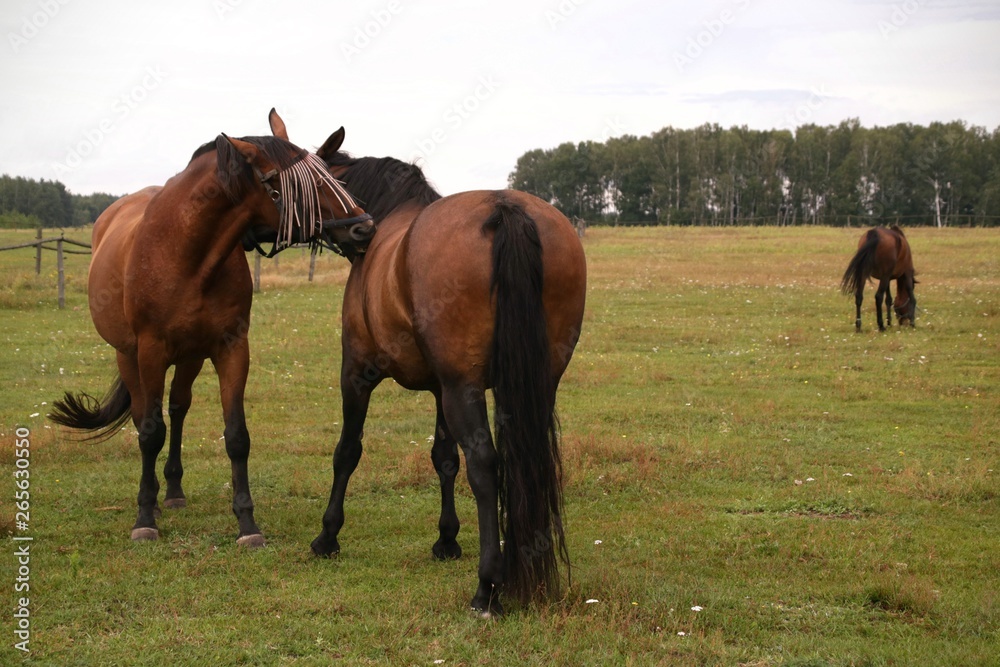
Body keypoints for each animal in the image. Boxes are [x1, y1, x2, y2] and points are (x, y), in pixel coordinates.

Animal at [48, 111, 374, 548]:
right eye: (295, 186)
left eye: (333, 177)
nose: (364, 229)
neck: (186, 253)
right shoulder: (150, 350)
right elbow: (150, 432)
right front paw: (144, 518)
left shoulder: (230, 348)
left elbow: (236, 436)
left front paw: (247, 523)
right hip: (128, 355)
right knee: (145, 417)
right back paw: (154, 500)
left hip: (190, 357)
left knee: (178, 408)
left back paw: (173, 491)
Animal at [312, 128, 588, 620]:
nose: (359, 231)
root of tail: (505, 208)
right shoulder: (442, 388)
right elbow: (443, 458)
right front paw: (446, 539)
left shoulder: (357, 373)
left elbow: (347, 451)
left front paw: (327, 536)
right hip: (532, 384)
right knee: (526, 458)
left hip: (466, 389)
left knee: (485, 466)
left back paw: (488, 588)